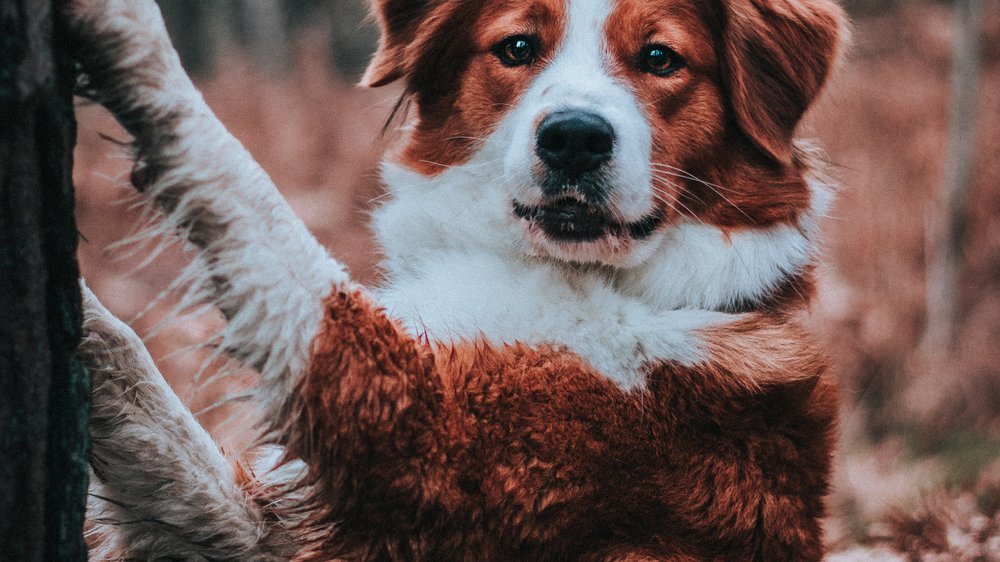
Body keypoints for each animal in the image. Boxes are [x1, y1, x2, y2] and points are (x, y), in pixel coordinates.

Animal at [70, 0, 848, 556]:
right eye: (518, 48)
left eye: (661, 58)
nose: (573, 138)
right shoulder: (267, 532)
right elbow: (135, 374)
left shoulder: (408, 425)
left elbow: (245, 189)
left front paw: (123, 31)